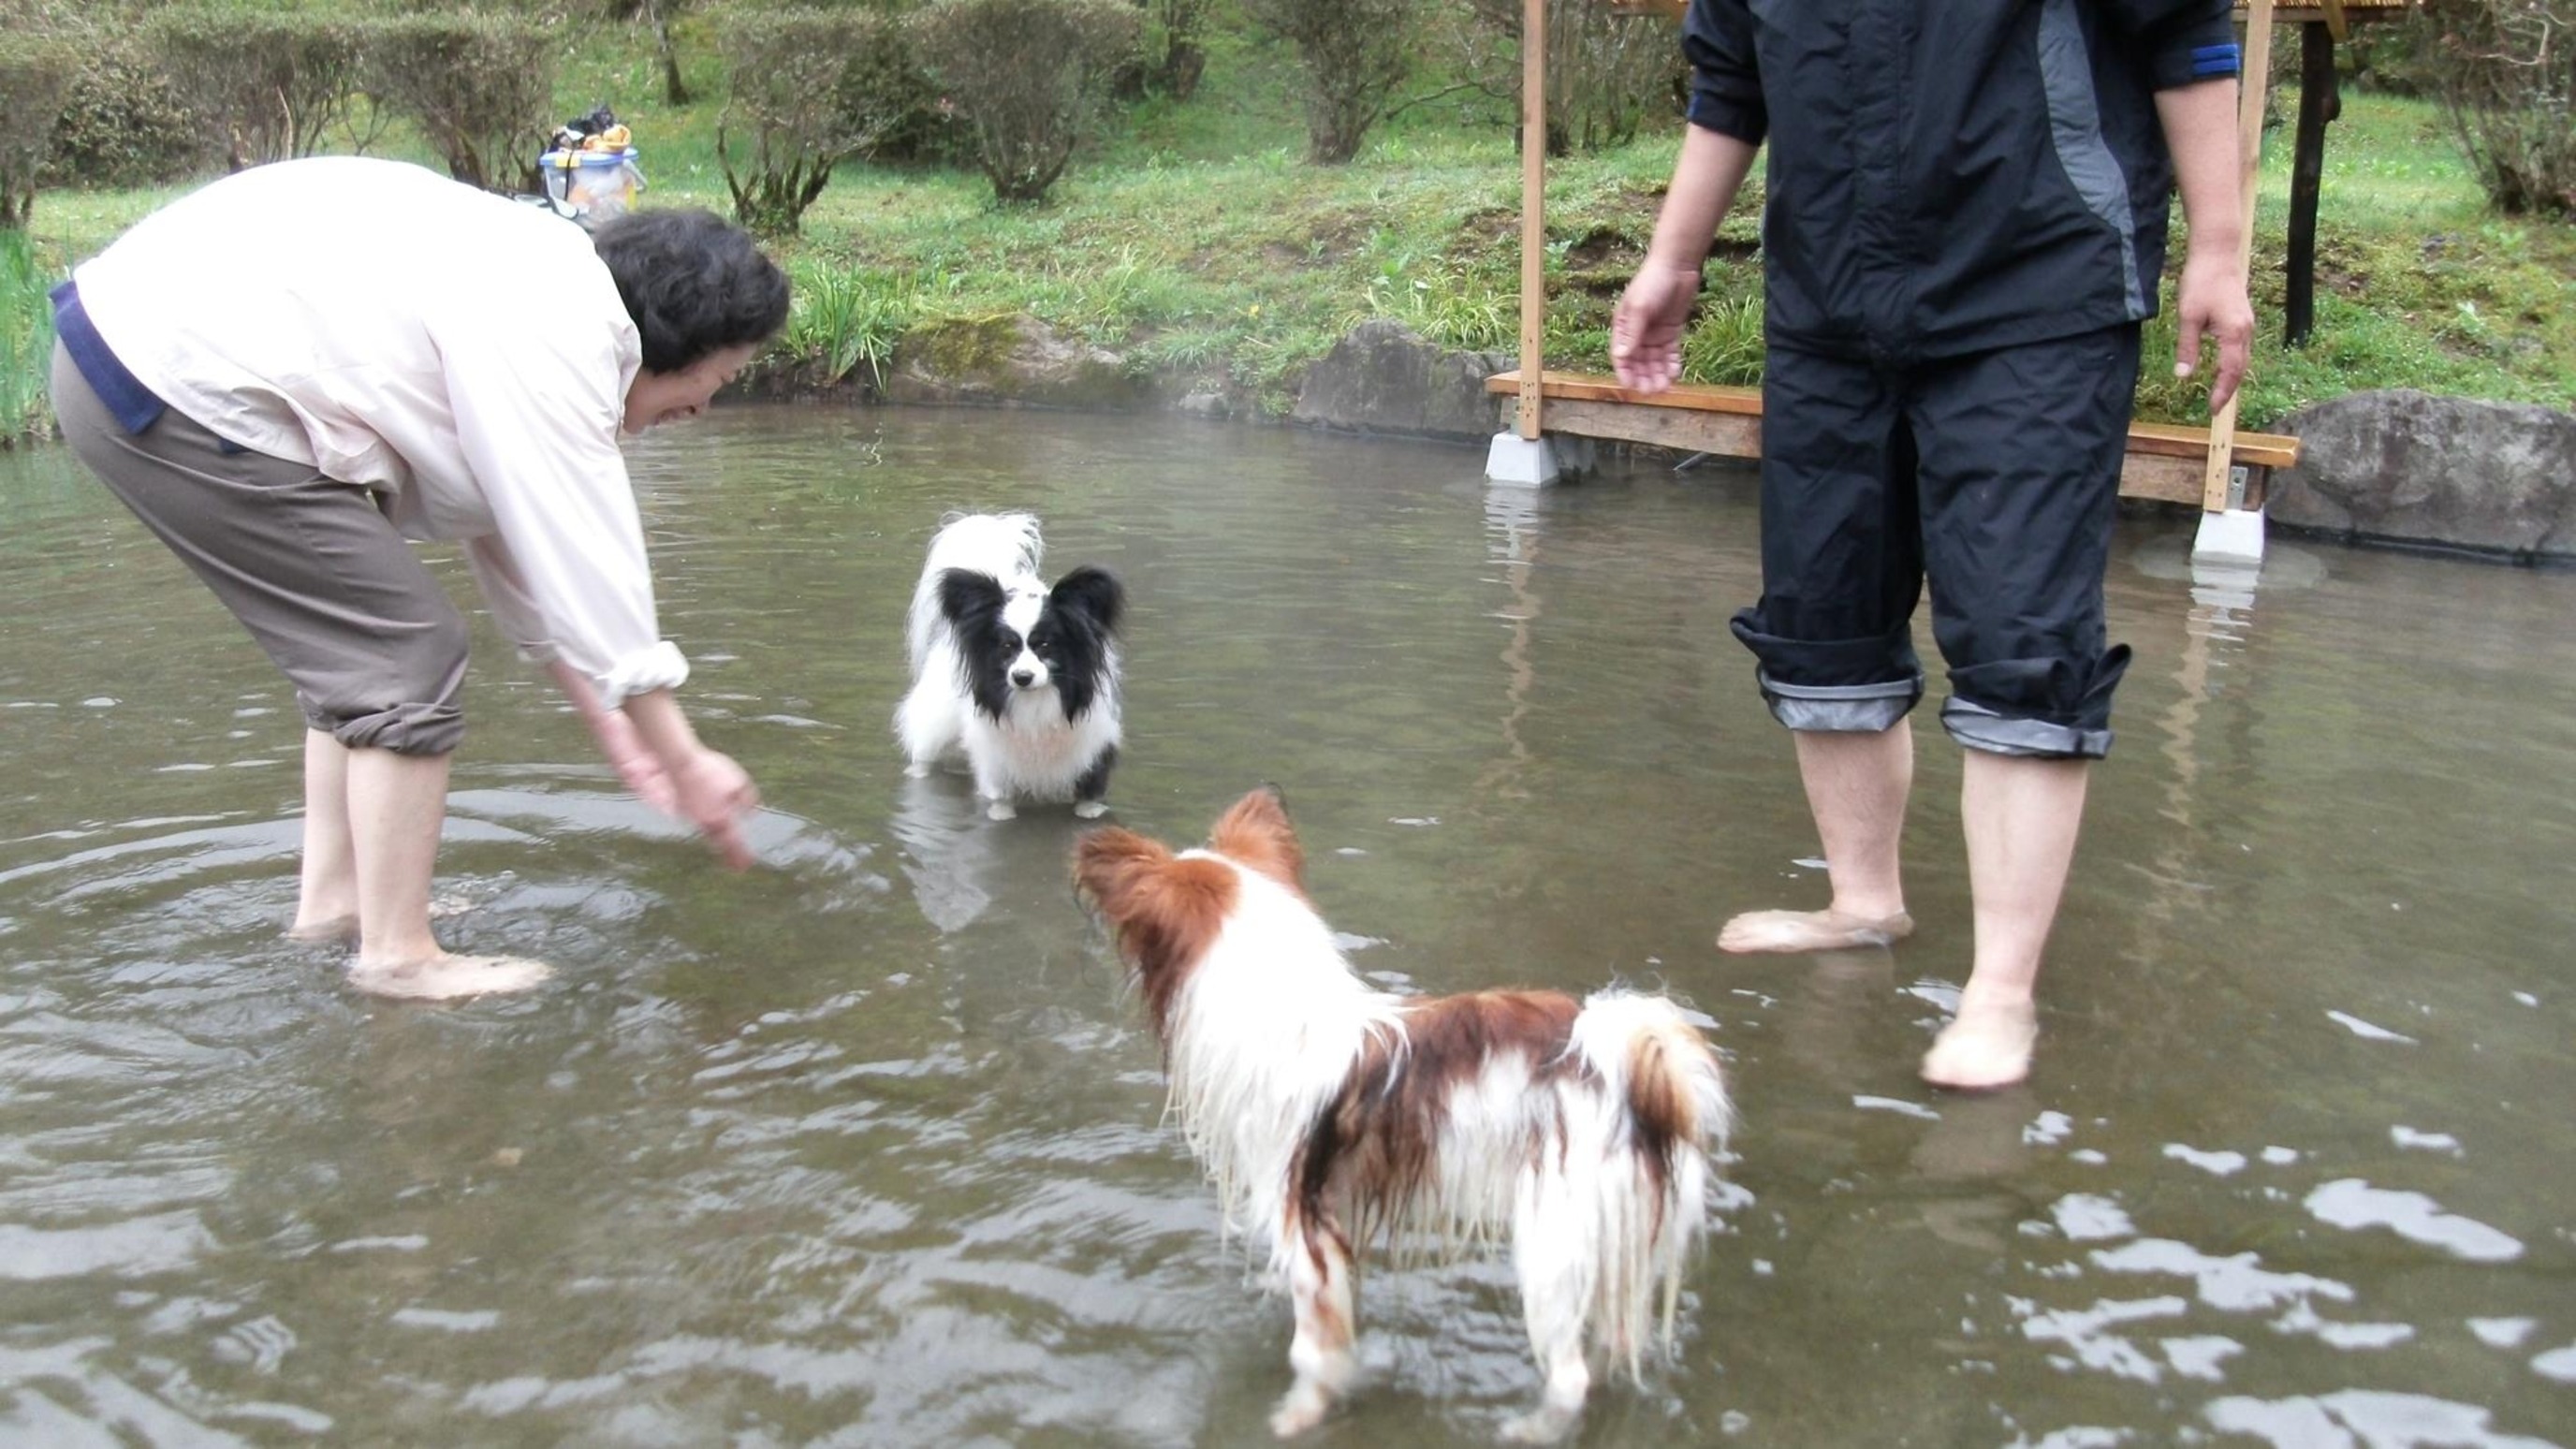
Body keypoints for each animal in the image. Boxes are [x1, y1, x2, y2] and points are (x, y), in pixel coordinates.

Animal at [896, 513, 1118, 819]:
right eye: (1006, 648)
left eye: (1045, 645)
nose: (1022, 677)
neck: (1035, 707)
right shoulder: (996, 771)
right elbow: (1000, 806)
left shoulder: (1092, 755)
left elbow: (1089, 803)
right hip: (934, 726)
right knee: (923, 755)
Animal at [1066, 783, 1731, 1433]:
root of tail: (1637, 1080)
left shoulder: (1301, 1220)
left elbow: (1315, 1351)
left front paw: (1300, 1413)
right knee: (1611, 1338)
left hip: (1551, 1242)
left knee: (1569, 1379)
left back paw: (1526, 1429)